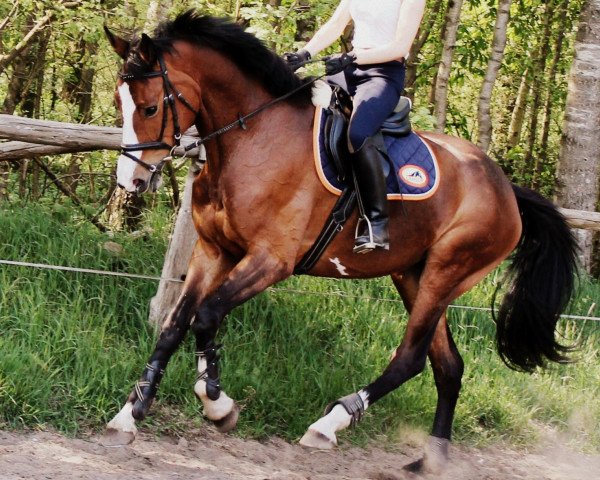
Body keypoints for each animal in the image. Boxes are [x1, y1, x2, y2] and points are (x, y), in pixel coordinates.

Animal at [102, 10, 576, 472]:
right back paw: (431, 458)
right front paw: (131, 414)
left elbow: (206, 316)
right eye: (119, 104)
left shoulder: (270, 261)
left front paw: (217, 404)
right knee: (447, 365)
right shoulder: (213, 252)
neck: (252, 138)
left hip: (447, 272)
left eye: (149, 107)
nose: (131, 181)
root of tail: (506, 189)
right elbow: (174, 325)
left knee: (411, 358)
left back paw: (330, 423)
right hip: (414, 275)